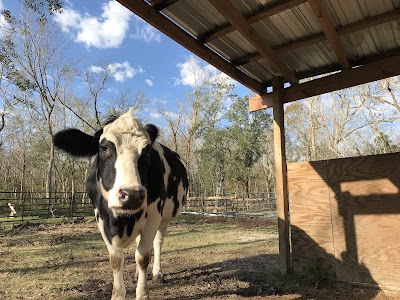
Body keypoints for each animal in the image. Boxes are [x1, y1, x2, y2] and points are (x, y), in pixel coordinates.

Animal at [53, 109, 189, 300]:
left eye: (146, 152)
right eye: (103, 148)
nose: (131, 195)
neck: (120, 221)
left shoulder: (154, 215)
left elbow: (143, 257)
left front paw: (143, 294)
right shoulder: (101, 217)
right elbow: (116, 259)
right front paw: (118, 294)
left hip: (165, 218)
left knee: (157, 242)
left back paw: (157, 273)